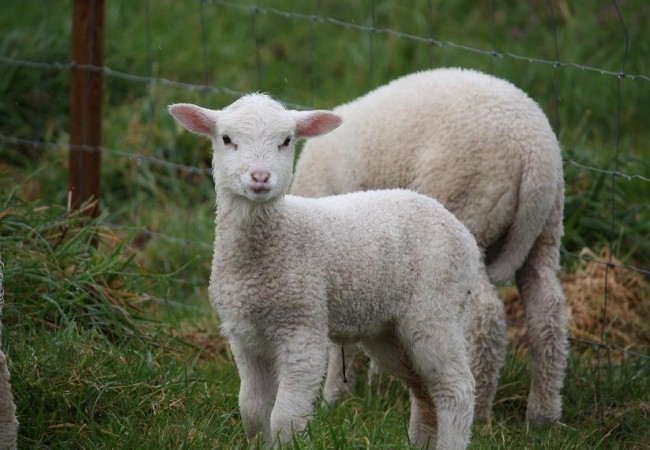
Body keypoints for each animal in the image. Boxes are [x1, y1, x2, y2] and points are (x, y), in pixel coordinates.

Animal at [170, 93, 478, 448]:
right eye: (226, 139)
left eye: (286, 141)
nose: (260, 177)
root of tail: (462, 231)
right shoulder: (244, 334)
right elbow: (252, 408)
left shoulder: (302, 327)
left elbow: (285, 417)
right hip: (388, 330)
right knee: (424, 388)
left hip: (435, 306)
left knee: (456, 388)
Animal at [290, 67, 568, 426]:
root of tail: (534, 154)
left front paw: (337, 397)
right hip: (545, 229)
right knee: (547, 309)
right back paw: (543, 414)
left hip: (470, 213)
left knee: (486, 317)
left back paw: (479, 410)